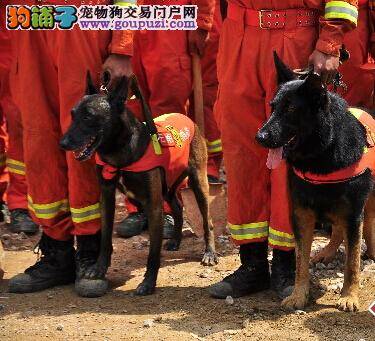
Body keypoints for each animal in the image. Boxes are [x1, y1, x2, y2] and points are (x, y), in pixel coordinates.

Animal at [60, 74, 219, 294]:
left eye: (88, 117)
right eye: (73, 115)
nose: (63, 143)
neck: (120, 151)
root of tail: (187, 117)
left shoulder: (153, 205)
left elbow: (153, 253)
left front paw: (148, 283)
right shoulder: (107, 197)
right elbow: (105, 238)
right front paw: (99, 268)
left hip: (198, 183)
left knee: (207, 220)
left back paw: (209, 252)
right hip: (167, 186)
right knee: (177, 207)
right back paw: (176, 240)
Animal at [258, 53, 375, 310]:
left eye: (291, 109)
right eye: (272, 108)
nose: (259, 137)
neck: (321, 154)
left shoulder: (354, 214)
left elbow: (352, 263)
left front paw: (349, 296)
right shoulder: (301, 214)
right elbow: (300, 261)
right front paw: (299, 294)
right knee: (338, 229)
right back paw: (328, 252)